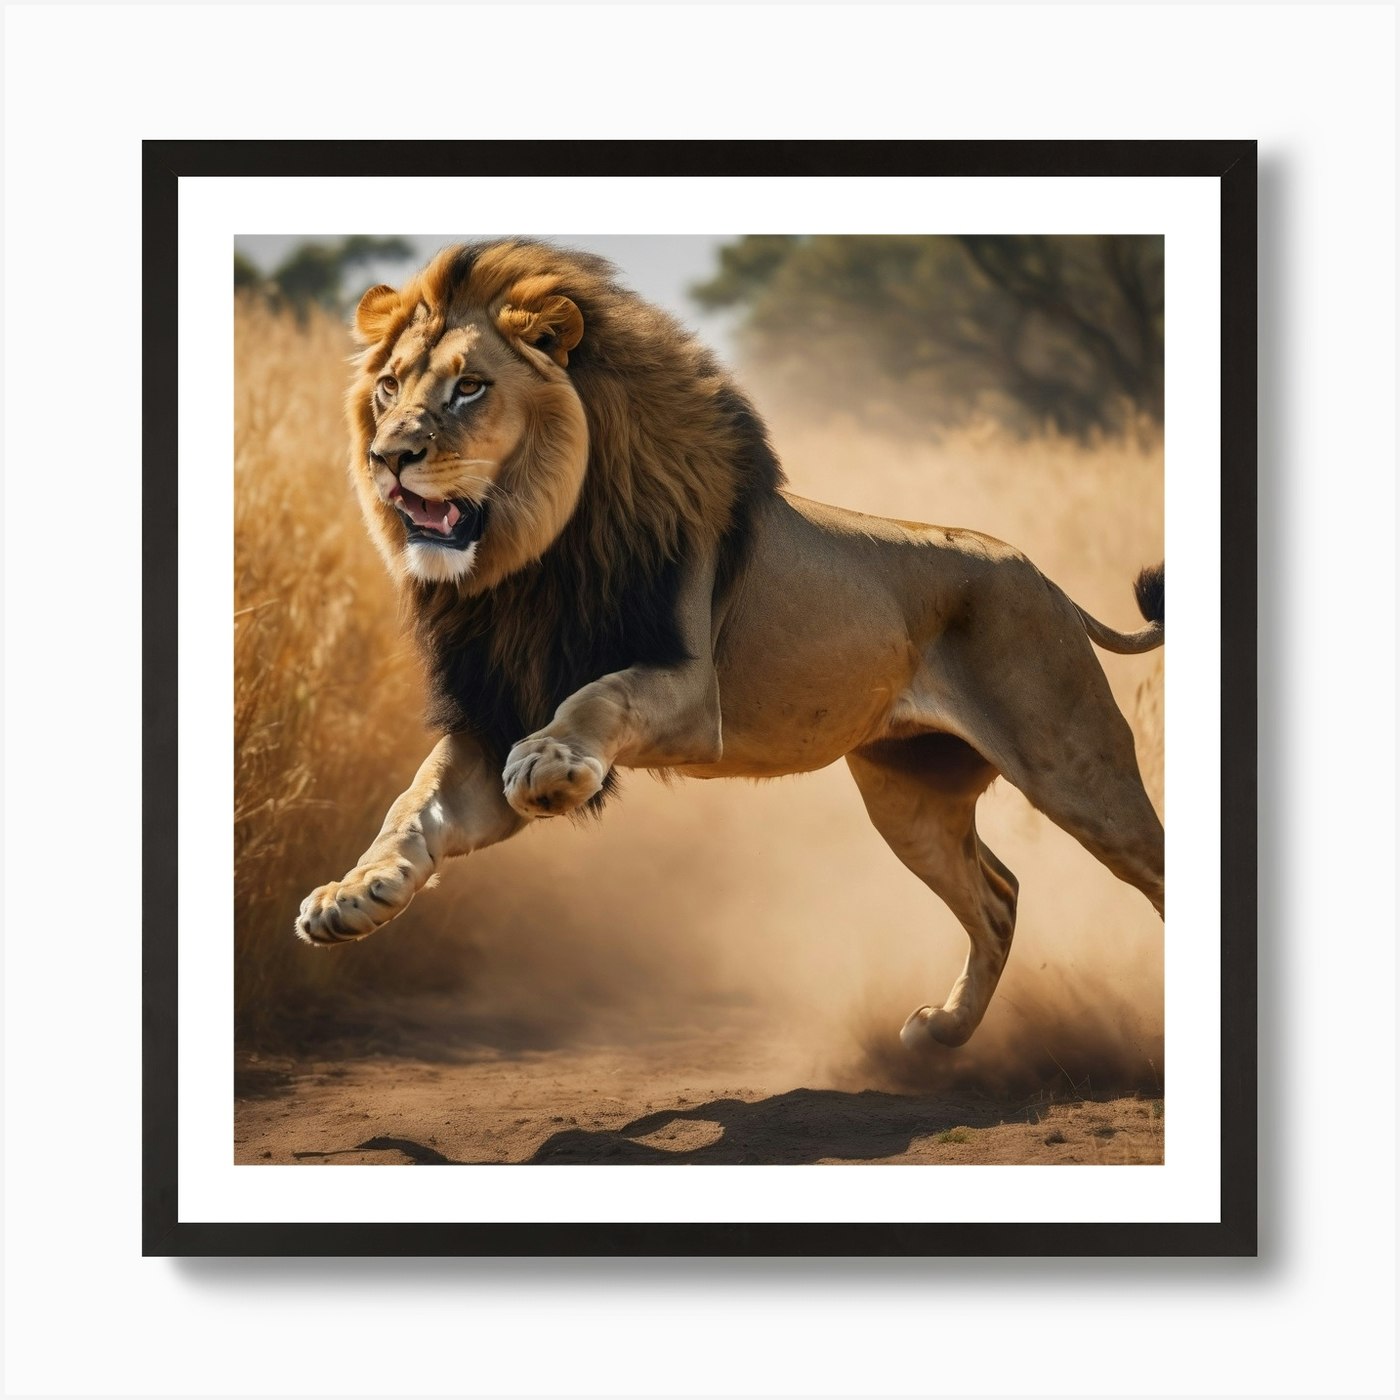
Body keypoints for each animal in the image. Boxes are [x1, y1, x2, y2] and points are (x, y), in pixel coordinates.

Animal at [295, 240, 1165, 1051]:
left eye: (470, 386)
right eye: (388, 387)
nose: (388, 458)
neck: (528, 564)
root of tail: (1045, 580)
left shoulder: (687, 690)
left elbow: (598, 697)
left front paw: (551, 765)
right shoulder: (491, 715)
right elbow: (414, 803)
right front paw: (352, 895)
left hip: (1074, 768)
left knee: (1142, 864)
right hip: (910, 797)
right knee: (999, 895)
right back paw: (940, 1031)